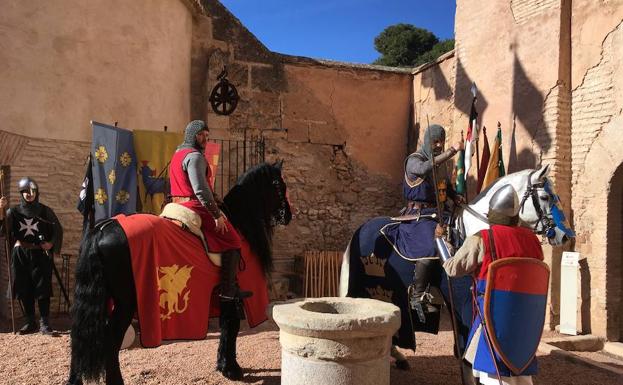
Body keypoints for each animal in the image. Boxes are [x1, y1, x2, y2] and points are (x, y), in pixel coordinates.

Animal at [64, 161, 294, 384]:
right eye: (279, 186)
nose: (288, 216)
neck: (238, 224)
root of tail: (102, 229)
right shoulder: (232, 293)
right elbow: (232, 325)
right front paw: (231, 369)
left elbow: (227, 326)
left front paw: (224, 365)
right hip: (126, 302)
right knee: (110, 339)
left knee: (81, 335)